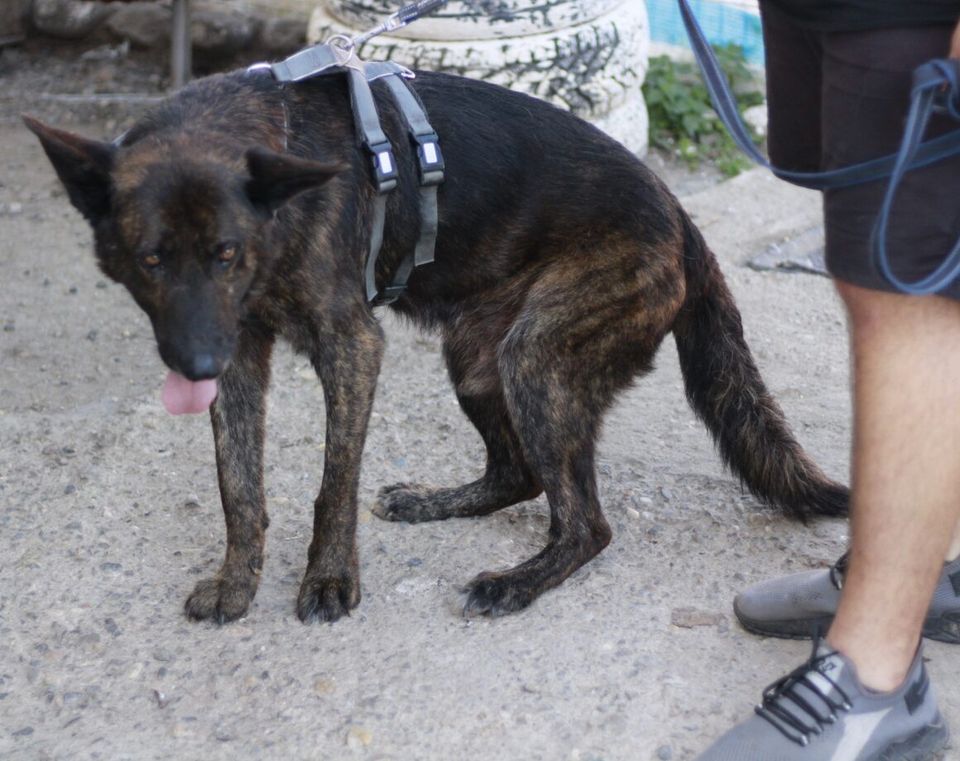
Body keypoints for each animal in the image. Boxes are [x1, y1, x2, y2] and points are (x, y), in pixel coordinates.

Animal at [22, 65, 848, 624]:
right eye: (151, 260)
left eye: (226, 254)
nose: (195, 366)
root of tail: (679, 215)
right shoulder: (241, 357)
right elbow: (240, 486)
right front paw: (238, 581)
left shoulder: (350, 346)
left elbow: (333, 483)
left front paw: (329, 580)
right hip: (476, 360)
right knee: (520, 473)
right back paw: (434, 502)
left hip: (535, 359)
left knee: (587, 522)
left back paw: (516, 582)